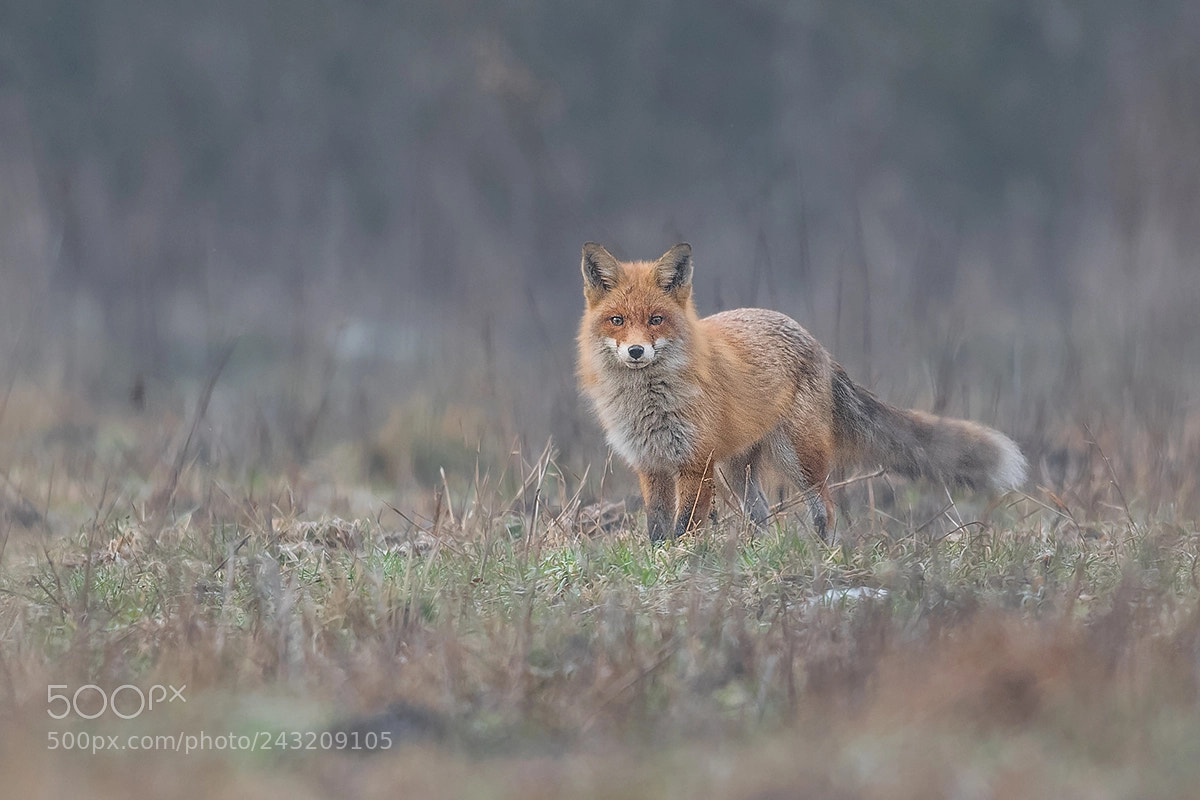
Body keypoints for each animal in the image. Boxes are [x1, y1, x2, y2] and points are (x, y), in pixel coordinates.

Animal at [576, 242, 1028, 541]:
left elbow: (685, 526)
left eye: (656, 320)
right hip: (738, 470)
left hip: (798, 457)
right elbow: (656, 528)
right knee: (761, 515)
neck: (648, 403)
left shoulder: (695, 463)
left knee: (824, 509)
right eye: (617, 320)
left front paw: (683, 564)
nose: (636, 351)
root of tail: (817, 343)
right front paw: (663, 561)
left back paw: (823, 557)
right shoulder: (651, 464)